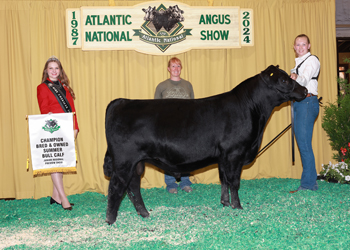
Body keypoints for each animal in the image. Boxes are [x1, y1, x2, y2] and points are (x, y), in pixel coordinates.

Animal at [103, 64, 306, 225]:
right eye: (284, 80)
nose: (304, 91)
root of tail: (121, 101)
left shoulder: (223, 157)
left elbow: (223, 179)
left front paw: (225, 203)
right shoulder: (235, 153)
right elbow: (234, 182)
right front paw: (237, 206)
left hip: (137, 163)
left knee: (133, 186)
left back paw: (144, 213)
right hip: (124, 161)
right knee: (116, 187)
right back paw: (111, 221)